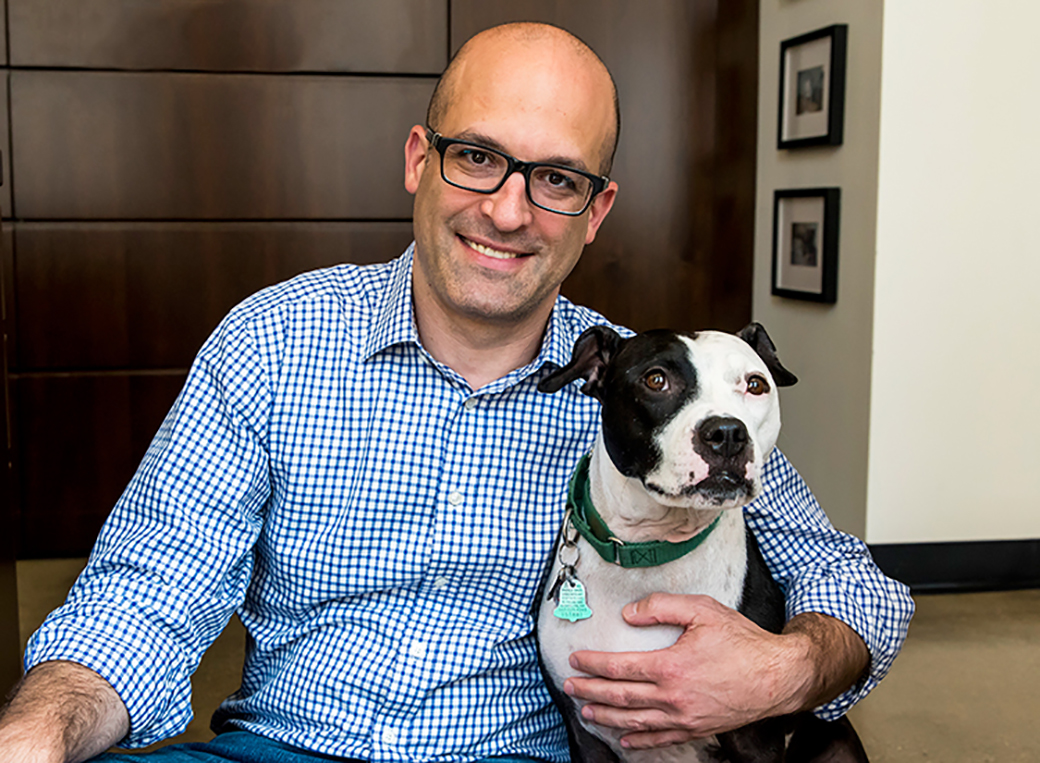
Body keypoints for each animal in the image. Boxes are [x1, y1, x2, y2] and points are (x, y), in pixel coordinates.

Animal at [536, 324, 869, 763]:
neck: (649, 549)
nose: (727, 433)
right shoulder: (584, 733)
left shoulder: (753, 737)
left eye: (755, 384)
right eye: (656, 379)